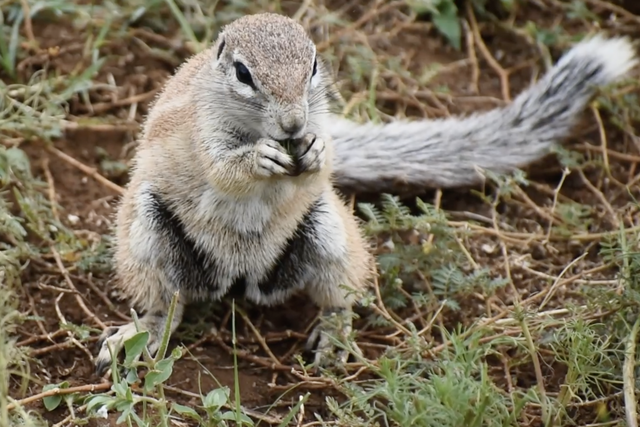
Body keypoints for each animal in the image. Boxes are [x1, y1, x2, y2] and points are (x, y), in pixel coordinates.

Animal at [94, 12, 638, 375]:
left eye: (314, 65)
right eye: (243, 73)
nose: (293, 125)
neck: (263, 130)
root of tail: (240, 280)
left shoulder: (321, 127)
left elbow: (323, 159)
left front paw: (314, 152)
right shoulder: (203, 131)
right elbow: (223, 170)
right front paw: (257, 160)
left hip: (328, 231)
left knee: (340, 297)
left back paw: (335, 337)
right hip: (145, 231)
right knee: (167, 304)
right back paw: (140, 333)